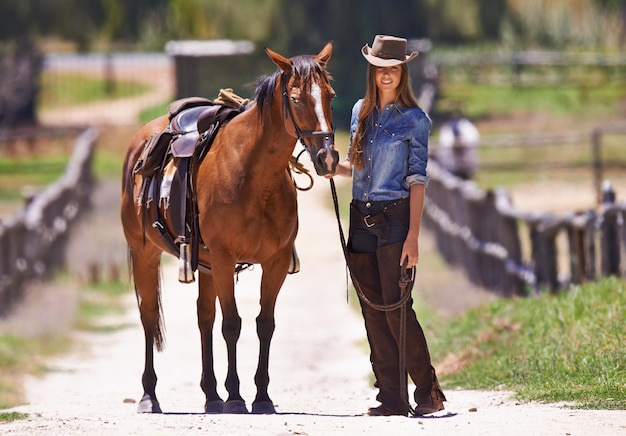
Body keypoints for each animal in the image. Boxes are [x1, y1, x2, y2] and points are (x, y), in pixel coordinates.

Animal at [120, 44, 338, 416]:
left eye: (329, 95)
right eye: (296, 99)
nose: (327, 158)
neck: (252, 175)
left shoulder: (275, 262)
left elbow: (264, 324)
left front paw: (262, 396)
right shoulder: (224, 258)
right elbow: (232, 324)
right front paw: (236, 396)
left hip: (206, 266)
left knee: (204, 317)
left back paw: (211, 395)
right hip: (145, 253)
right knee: (149, 317)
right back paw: (150, 396)